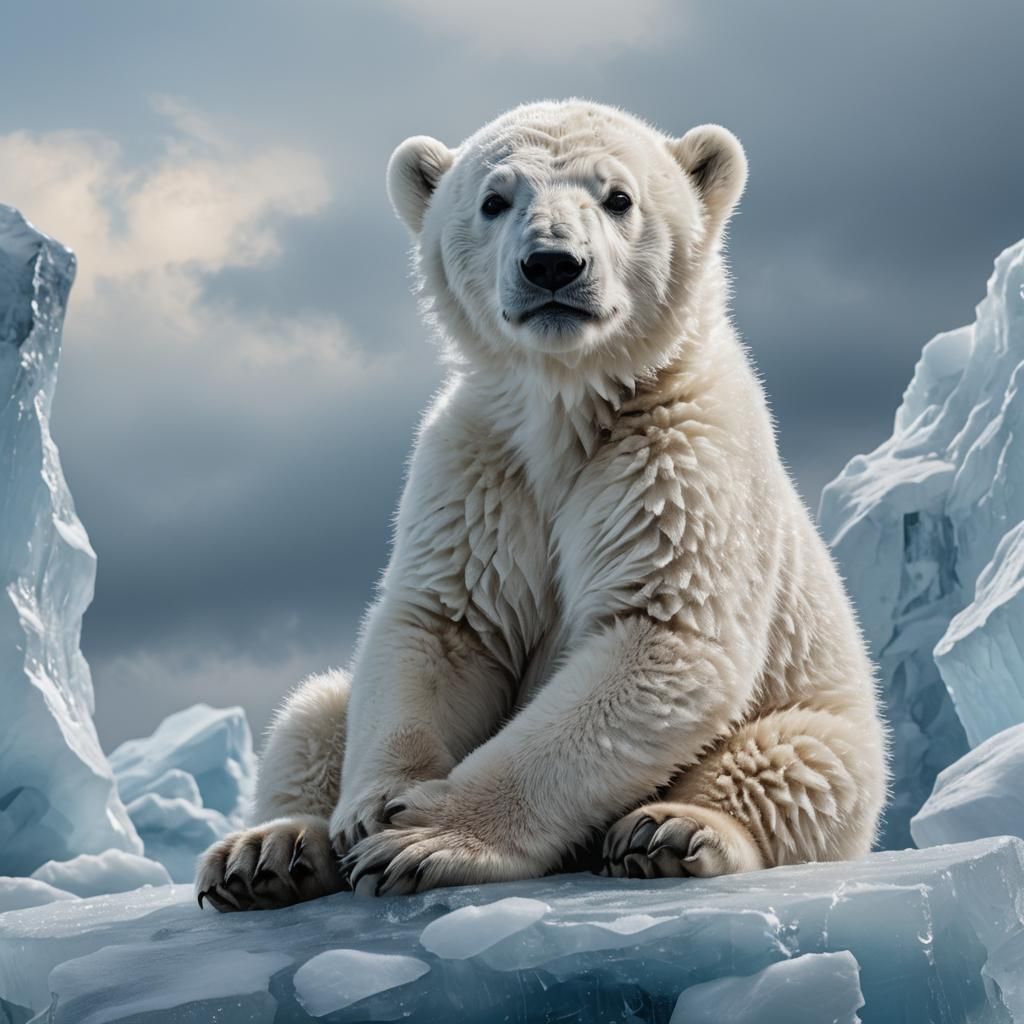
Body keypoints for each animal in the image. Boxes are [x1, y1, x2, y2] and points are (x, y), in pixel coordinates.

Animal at [196, 100, 888, 911]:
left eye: (617, 197)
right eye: (495, 200)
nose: (553, 264)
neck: (565, 409)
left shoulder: (682, 454)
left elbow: (664, 633)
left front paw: (423, 838)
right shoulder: (480, 468)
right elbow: (443, 626)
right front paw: (375, 806)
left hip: (833, 720)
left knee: (799, 761)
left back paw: (667, 832)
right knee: (313, 711)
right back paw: (267, 853)